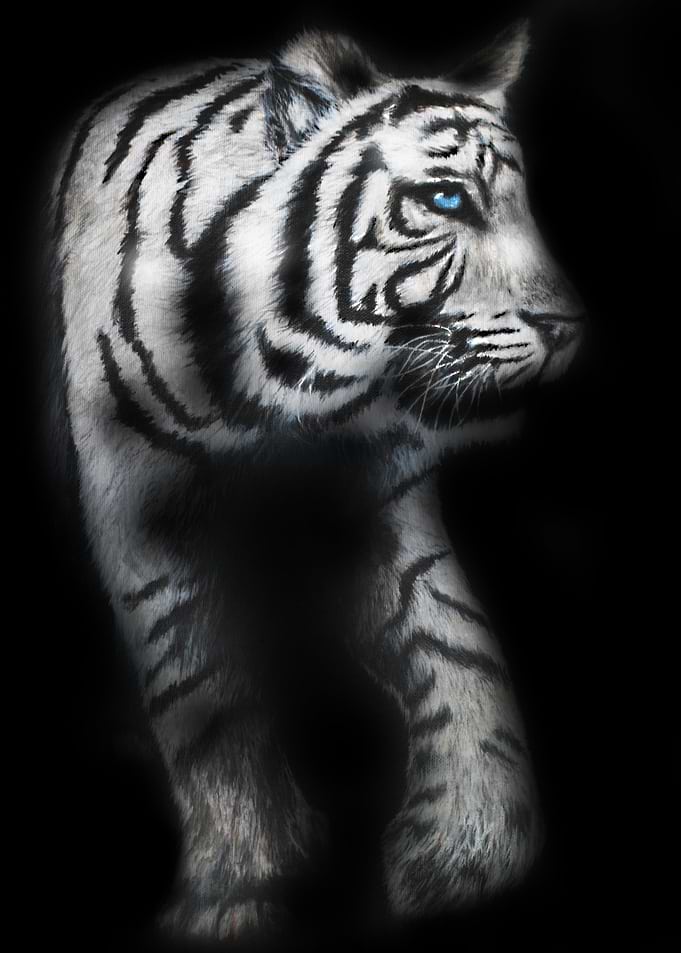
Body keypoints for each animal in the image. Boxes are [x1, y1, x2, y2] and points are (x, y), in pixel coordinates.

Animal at [45, 22, 585, 942]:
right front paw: (238, 889)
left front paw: (469, 851)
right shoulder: (144, 505)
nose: (567, 327)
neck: (283, 392)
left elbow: (452, 641)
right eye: (446, 200)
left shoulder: (377, 498)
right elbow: (198, 682)